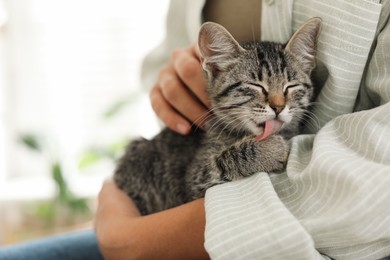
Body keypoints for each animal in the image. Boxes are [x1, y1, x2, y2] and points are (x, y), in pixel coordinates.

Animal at [114, 17, 322, 214]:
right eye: (256, 85)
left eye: (291, 86)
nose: (278, 107)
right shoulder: (195, 180)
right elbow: (223, 161)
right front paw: (268, 149)